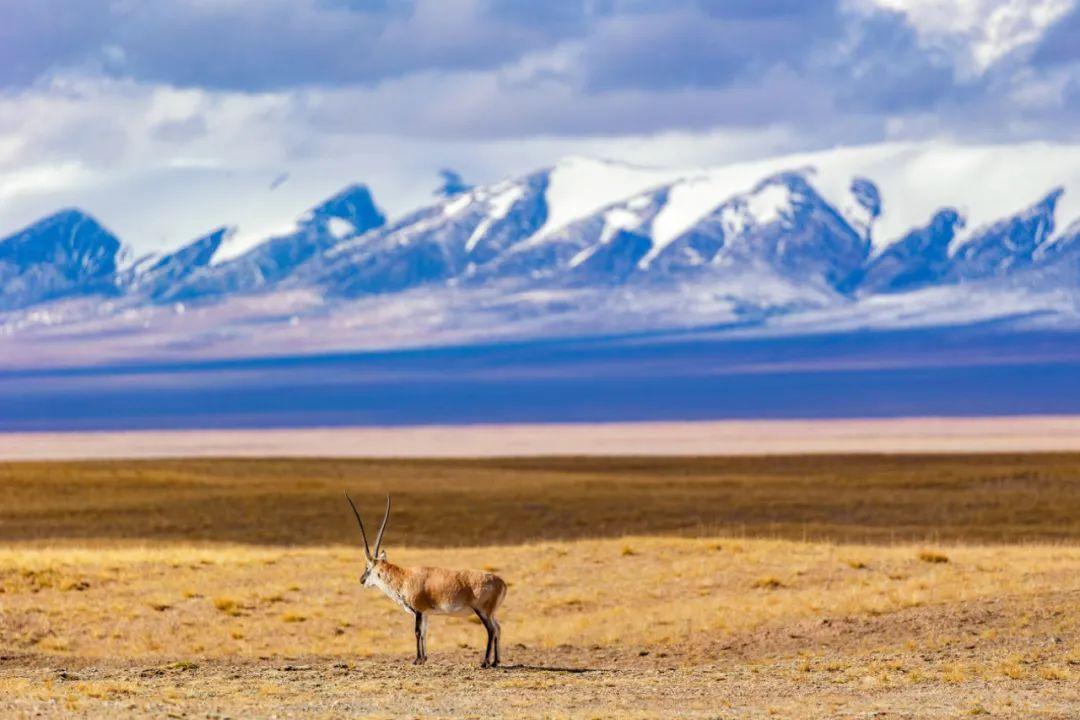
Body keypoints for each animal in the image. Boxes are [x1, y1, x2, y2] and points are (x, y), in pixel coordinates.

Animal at [343, 492, 507, 669]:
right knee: (498, 628)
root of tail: (501, 583)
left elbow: (417, 632)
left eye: (367, 567)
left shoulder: (418, 611)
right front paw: (424, 658)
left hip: (482, 611)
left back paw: (485, 662)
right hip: (491, 613)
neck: (403, 577)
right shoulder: (426, 613)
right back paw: (496, 661)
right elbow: (424, 633)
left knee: (491, 630)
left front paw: (417, 660)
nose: (361, 580)